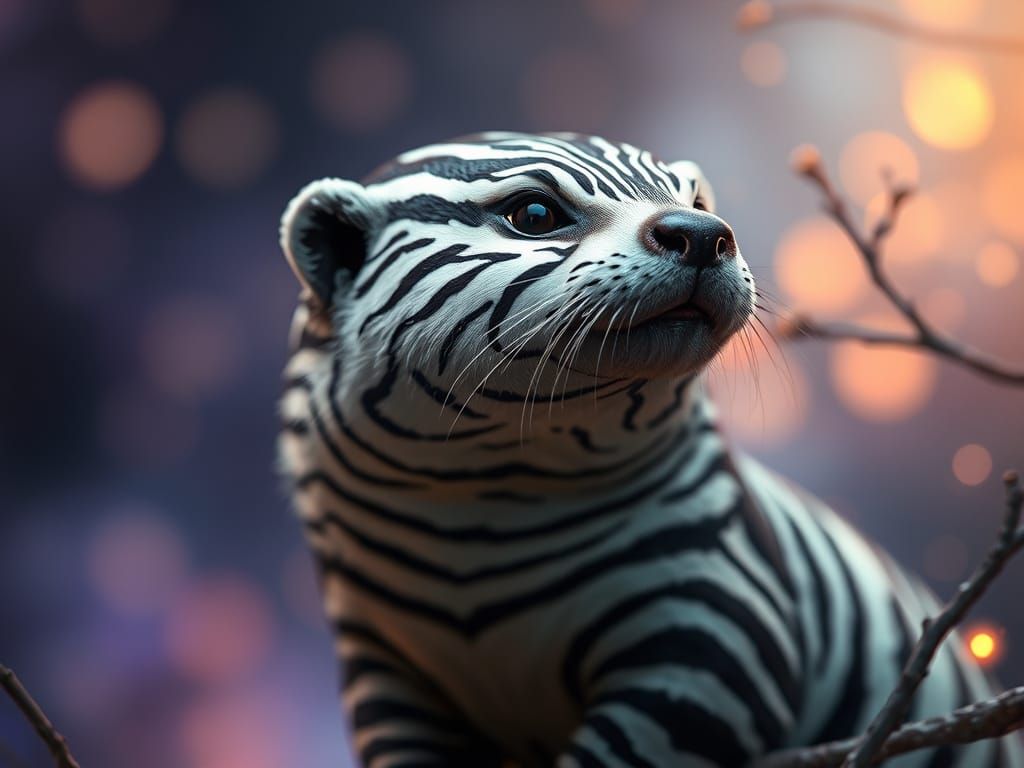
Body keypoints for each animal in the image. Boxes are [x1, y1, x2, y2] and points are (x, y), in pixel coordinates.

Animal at [277, 132, 1021, 767]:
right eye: (535, 214)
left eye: (697, 203)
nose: (705, 235)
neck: (482, 499)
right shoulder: (387, 673)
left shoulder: (716, 634)